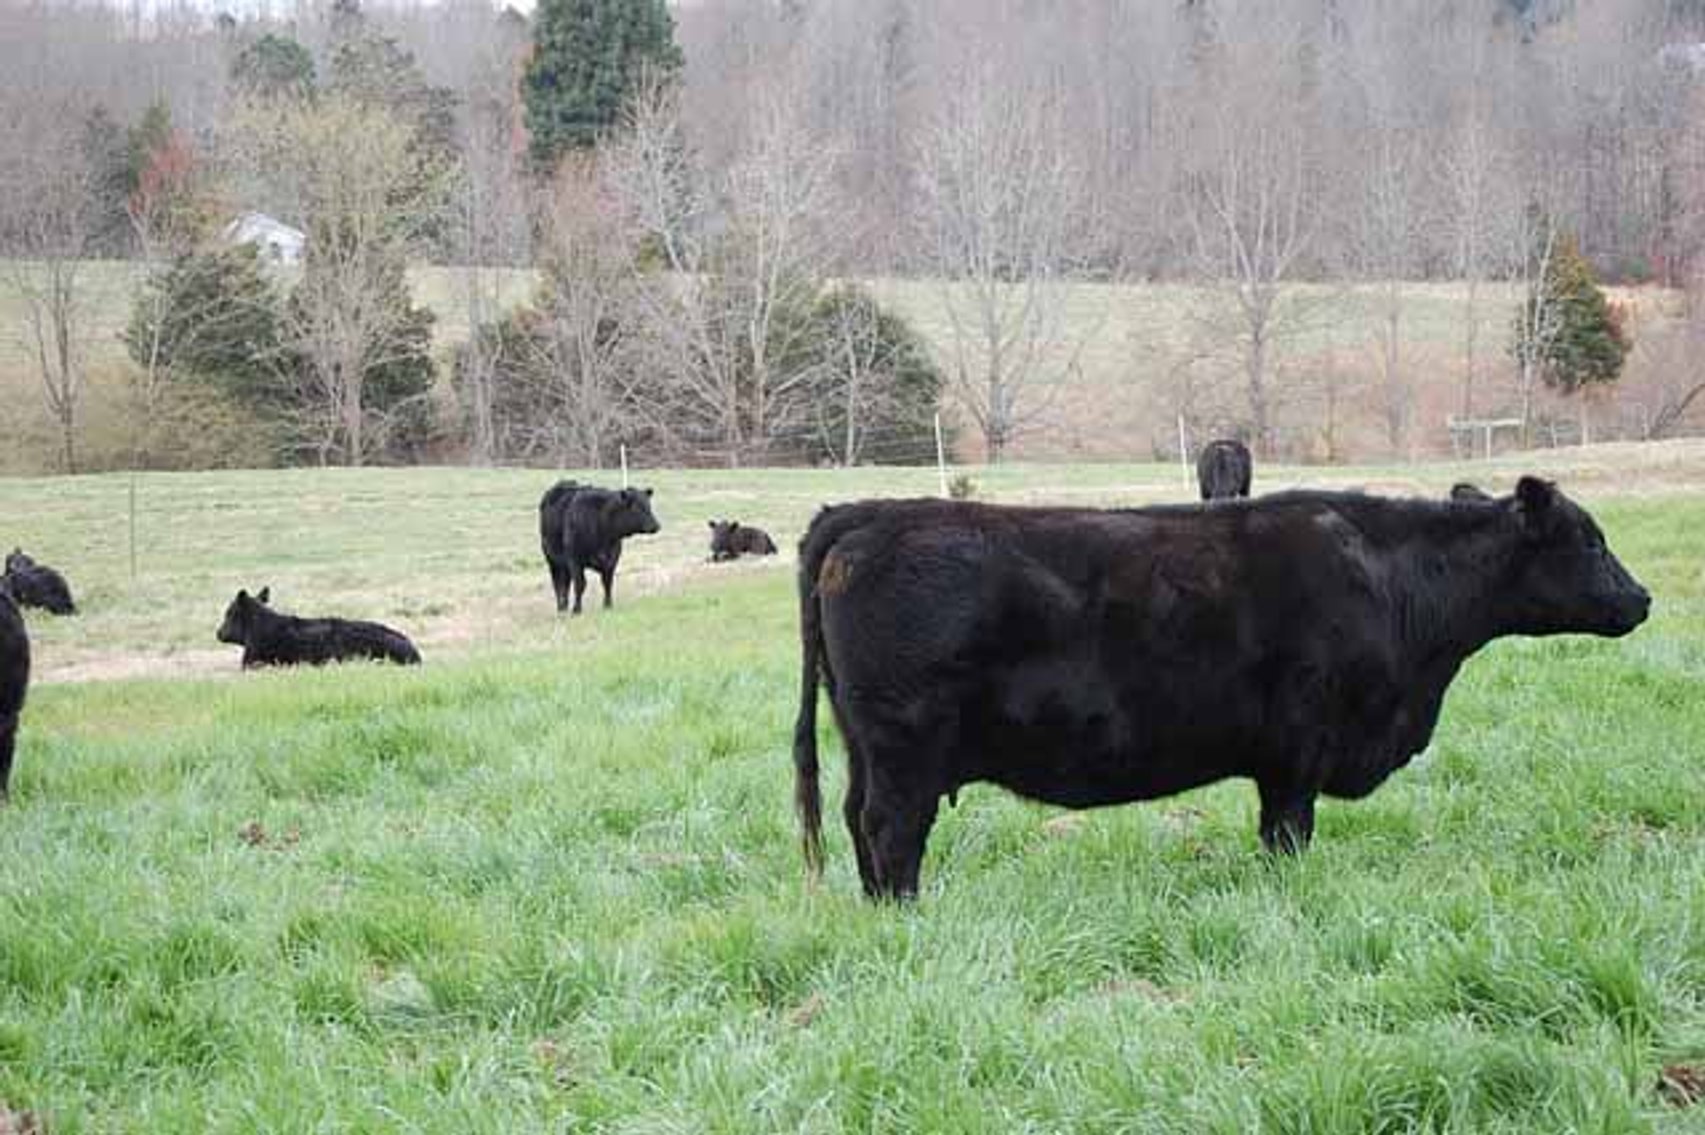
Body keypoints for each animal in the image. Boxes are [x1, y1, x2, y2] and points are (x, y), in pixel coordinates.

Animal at [539, 485, 660, 614]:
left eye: (649, 505)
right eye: (637, 508)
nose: (656, 526)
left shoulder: (612, 559)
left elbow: (607, 582)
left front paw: (608, 605)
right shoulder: (574, 560)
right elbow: (580, 584)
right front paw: (577, 609)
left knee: (566, 583)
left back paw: (564, 605)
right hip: (552, 560)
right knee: (557, 583)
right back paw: (561, 608)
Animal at [792, 477, 1650, 900]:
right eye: (1589, 538)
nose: (1641, 598)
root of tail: (870, 513)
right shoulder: (1301, 746)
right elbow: (1288, 833)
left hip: (864, 742)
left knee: (857, 821)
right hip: (905, 745)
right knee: (890, 827)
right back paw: (909, 912)